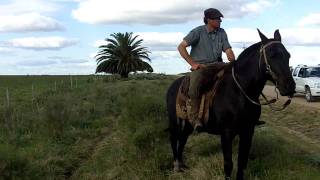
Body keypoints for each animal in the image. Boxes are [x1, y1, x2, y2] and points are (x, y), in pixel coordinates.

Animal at [166, 28, 296, 179]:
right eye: (271, 55)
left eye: (288, 55)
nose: (289, 86)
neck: (239, 91)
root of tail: (173, 86)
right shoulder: (226, 133)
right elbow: (228, 164)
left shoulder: (248, 131)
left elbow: (242, 162)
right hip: (174, 121)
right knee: (174, 138)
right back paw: (176, 165)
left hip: (187, 124)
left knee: (182, 139)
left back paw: (182, 164)